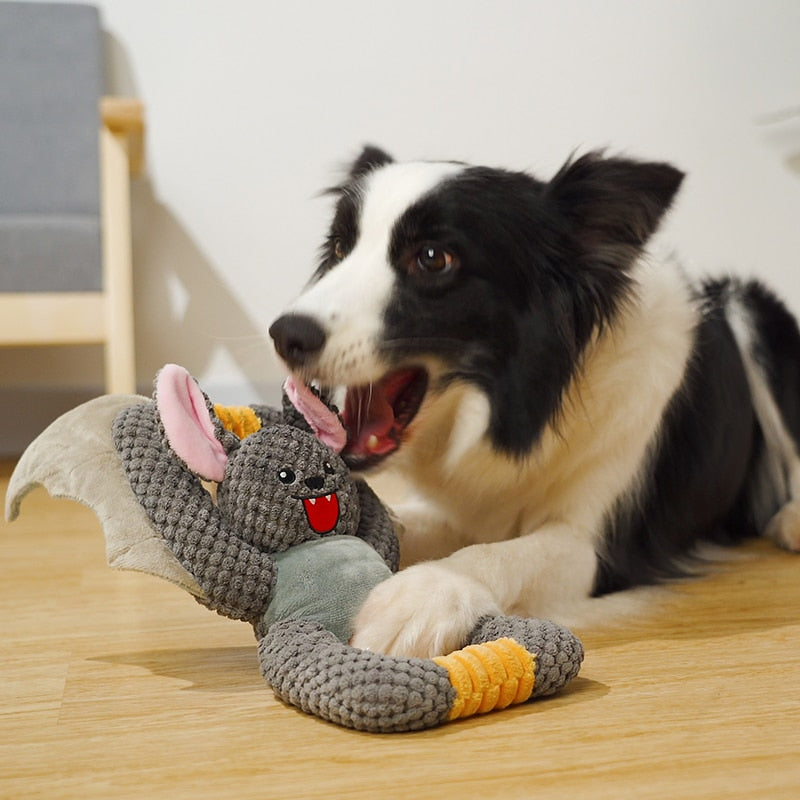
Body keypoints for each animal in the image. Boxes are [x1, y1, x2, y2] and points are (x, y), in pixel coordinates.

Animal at [270, 145, 800, 656]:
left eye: (433, 258)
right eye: (341, 248)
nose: (286, 335)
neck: (524, 410)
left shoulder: (594, 547)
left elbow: (505, 554)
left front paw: (424, 594)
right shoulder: (465, 510)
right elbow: (410, 523)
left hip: (753, 311)